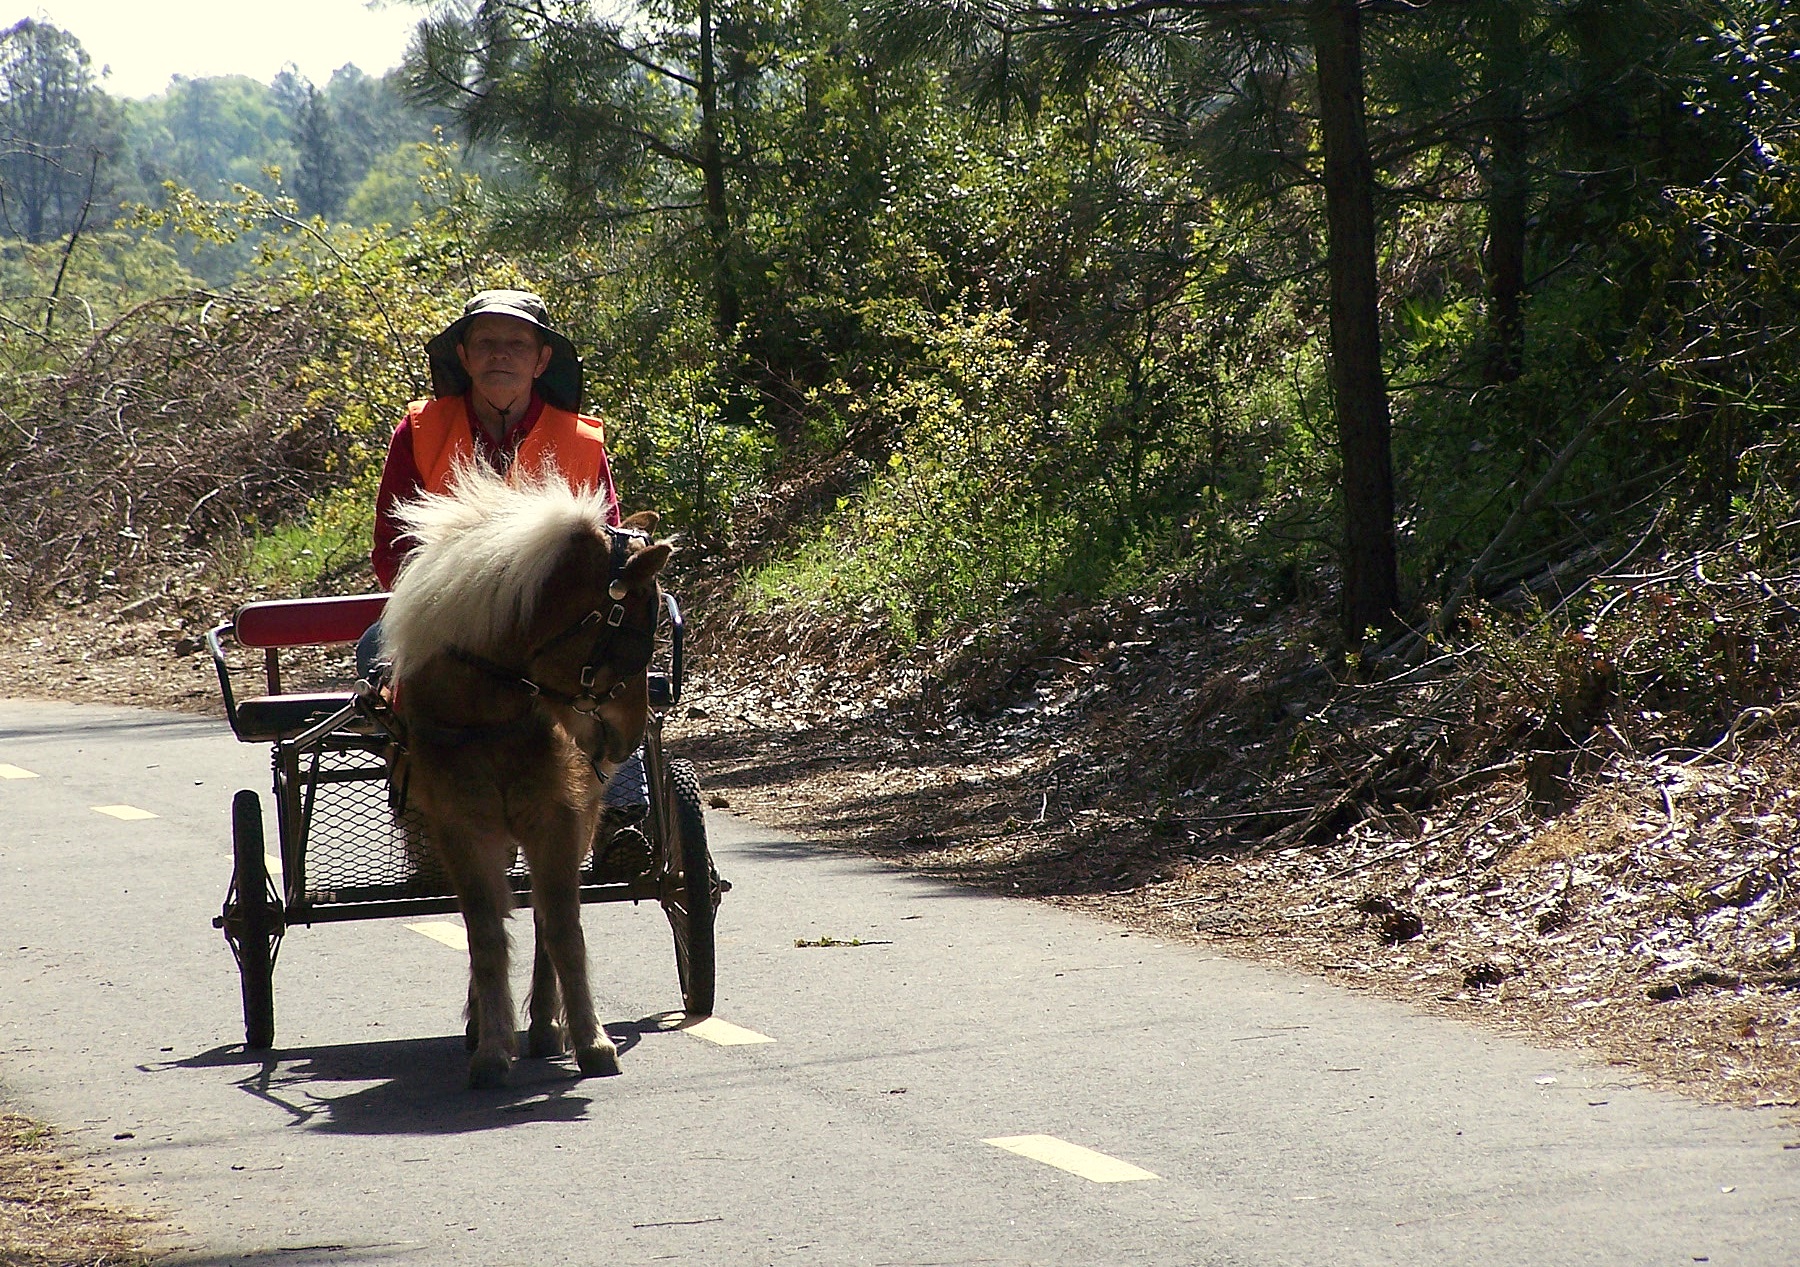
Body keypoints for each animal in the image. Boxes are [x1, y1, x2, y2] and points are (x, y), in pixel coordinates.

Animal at [381, 461, 672, 1089]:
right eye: (635, 634)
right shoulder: (463, 831)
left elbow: (561, 929)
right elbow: (485, 934)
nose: (630, 735)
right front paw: (492, 1048)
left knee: (542, 918)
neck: (484, 715)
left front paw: (590, 1039)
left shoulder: (556, 823)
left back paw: (543, 1025)